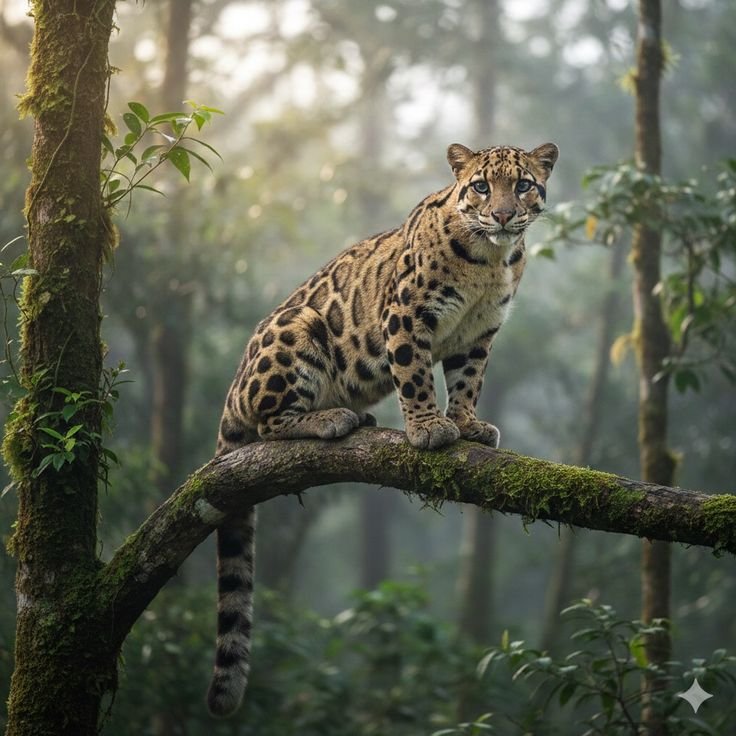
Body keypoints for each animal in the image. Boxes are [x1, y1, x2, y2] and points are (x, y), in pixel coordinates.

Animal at [206, 141, 558, 716]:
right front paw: (427, 428)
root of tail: (233, 387)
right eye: (482, 187)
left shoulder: (479, 332)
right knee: (270, 422)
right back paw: (331, 418)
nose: (505, 215)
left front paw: (467, 423)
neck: (491, 262)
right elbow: (413, 375)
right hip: (299, 332)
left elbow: (468, 381)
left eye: (523, 184)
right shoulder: (407, 314)